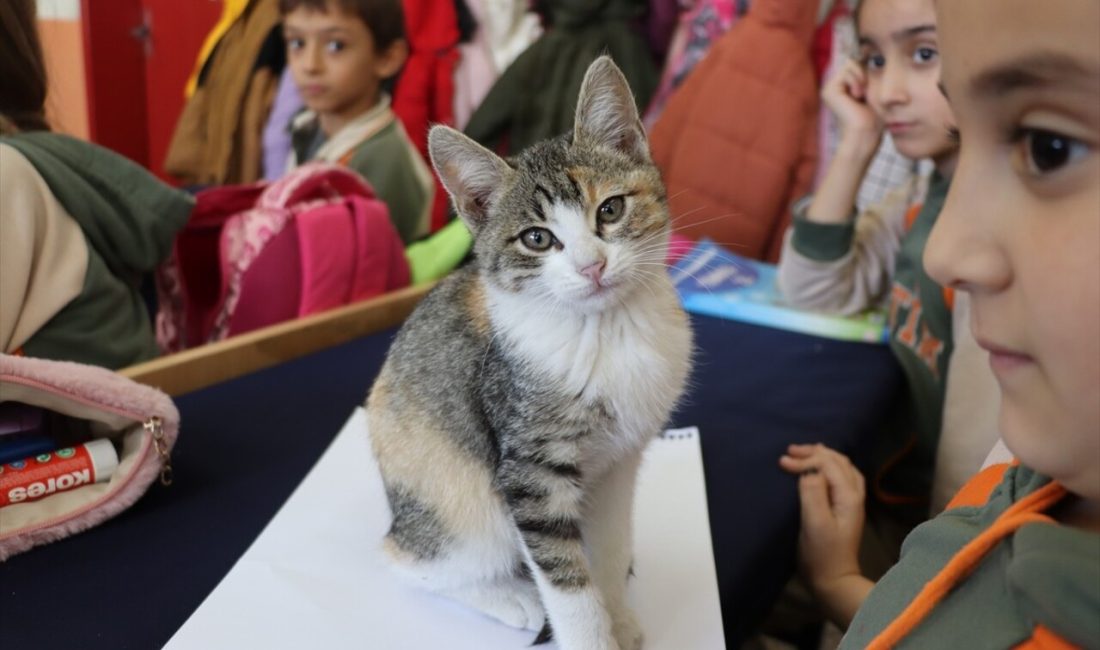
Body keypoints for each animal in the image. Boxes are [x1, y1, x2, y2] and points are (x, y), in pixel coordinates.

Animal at [369, 57, 695, 650]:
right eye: (537, 239)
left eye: (611, 208)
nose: (592, 265)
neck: (602, 332)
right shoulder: (529, 470)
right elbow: (568, 585)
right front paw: (593, 636)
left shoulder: (620, 463)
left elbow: (608, 548)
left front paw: (620, 617)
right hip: (462, 497)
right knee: (409, 557)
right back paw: (509, 597)